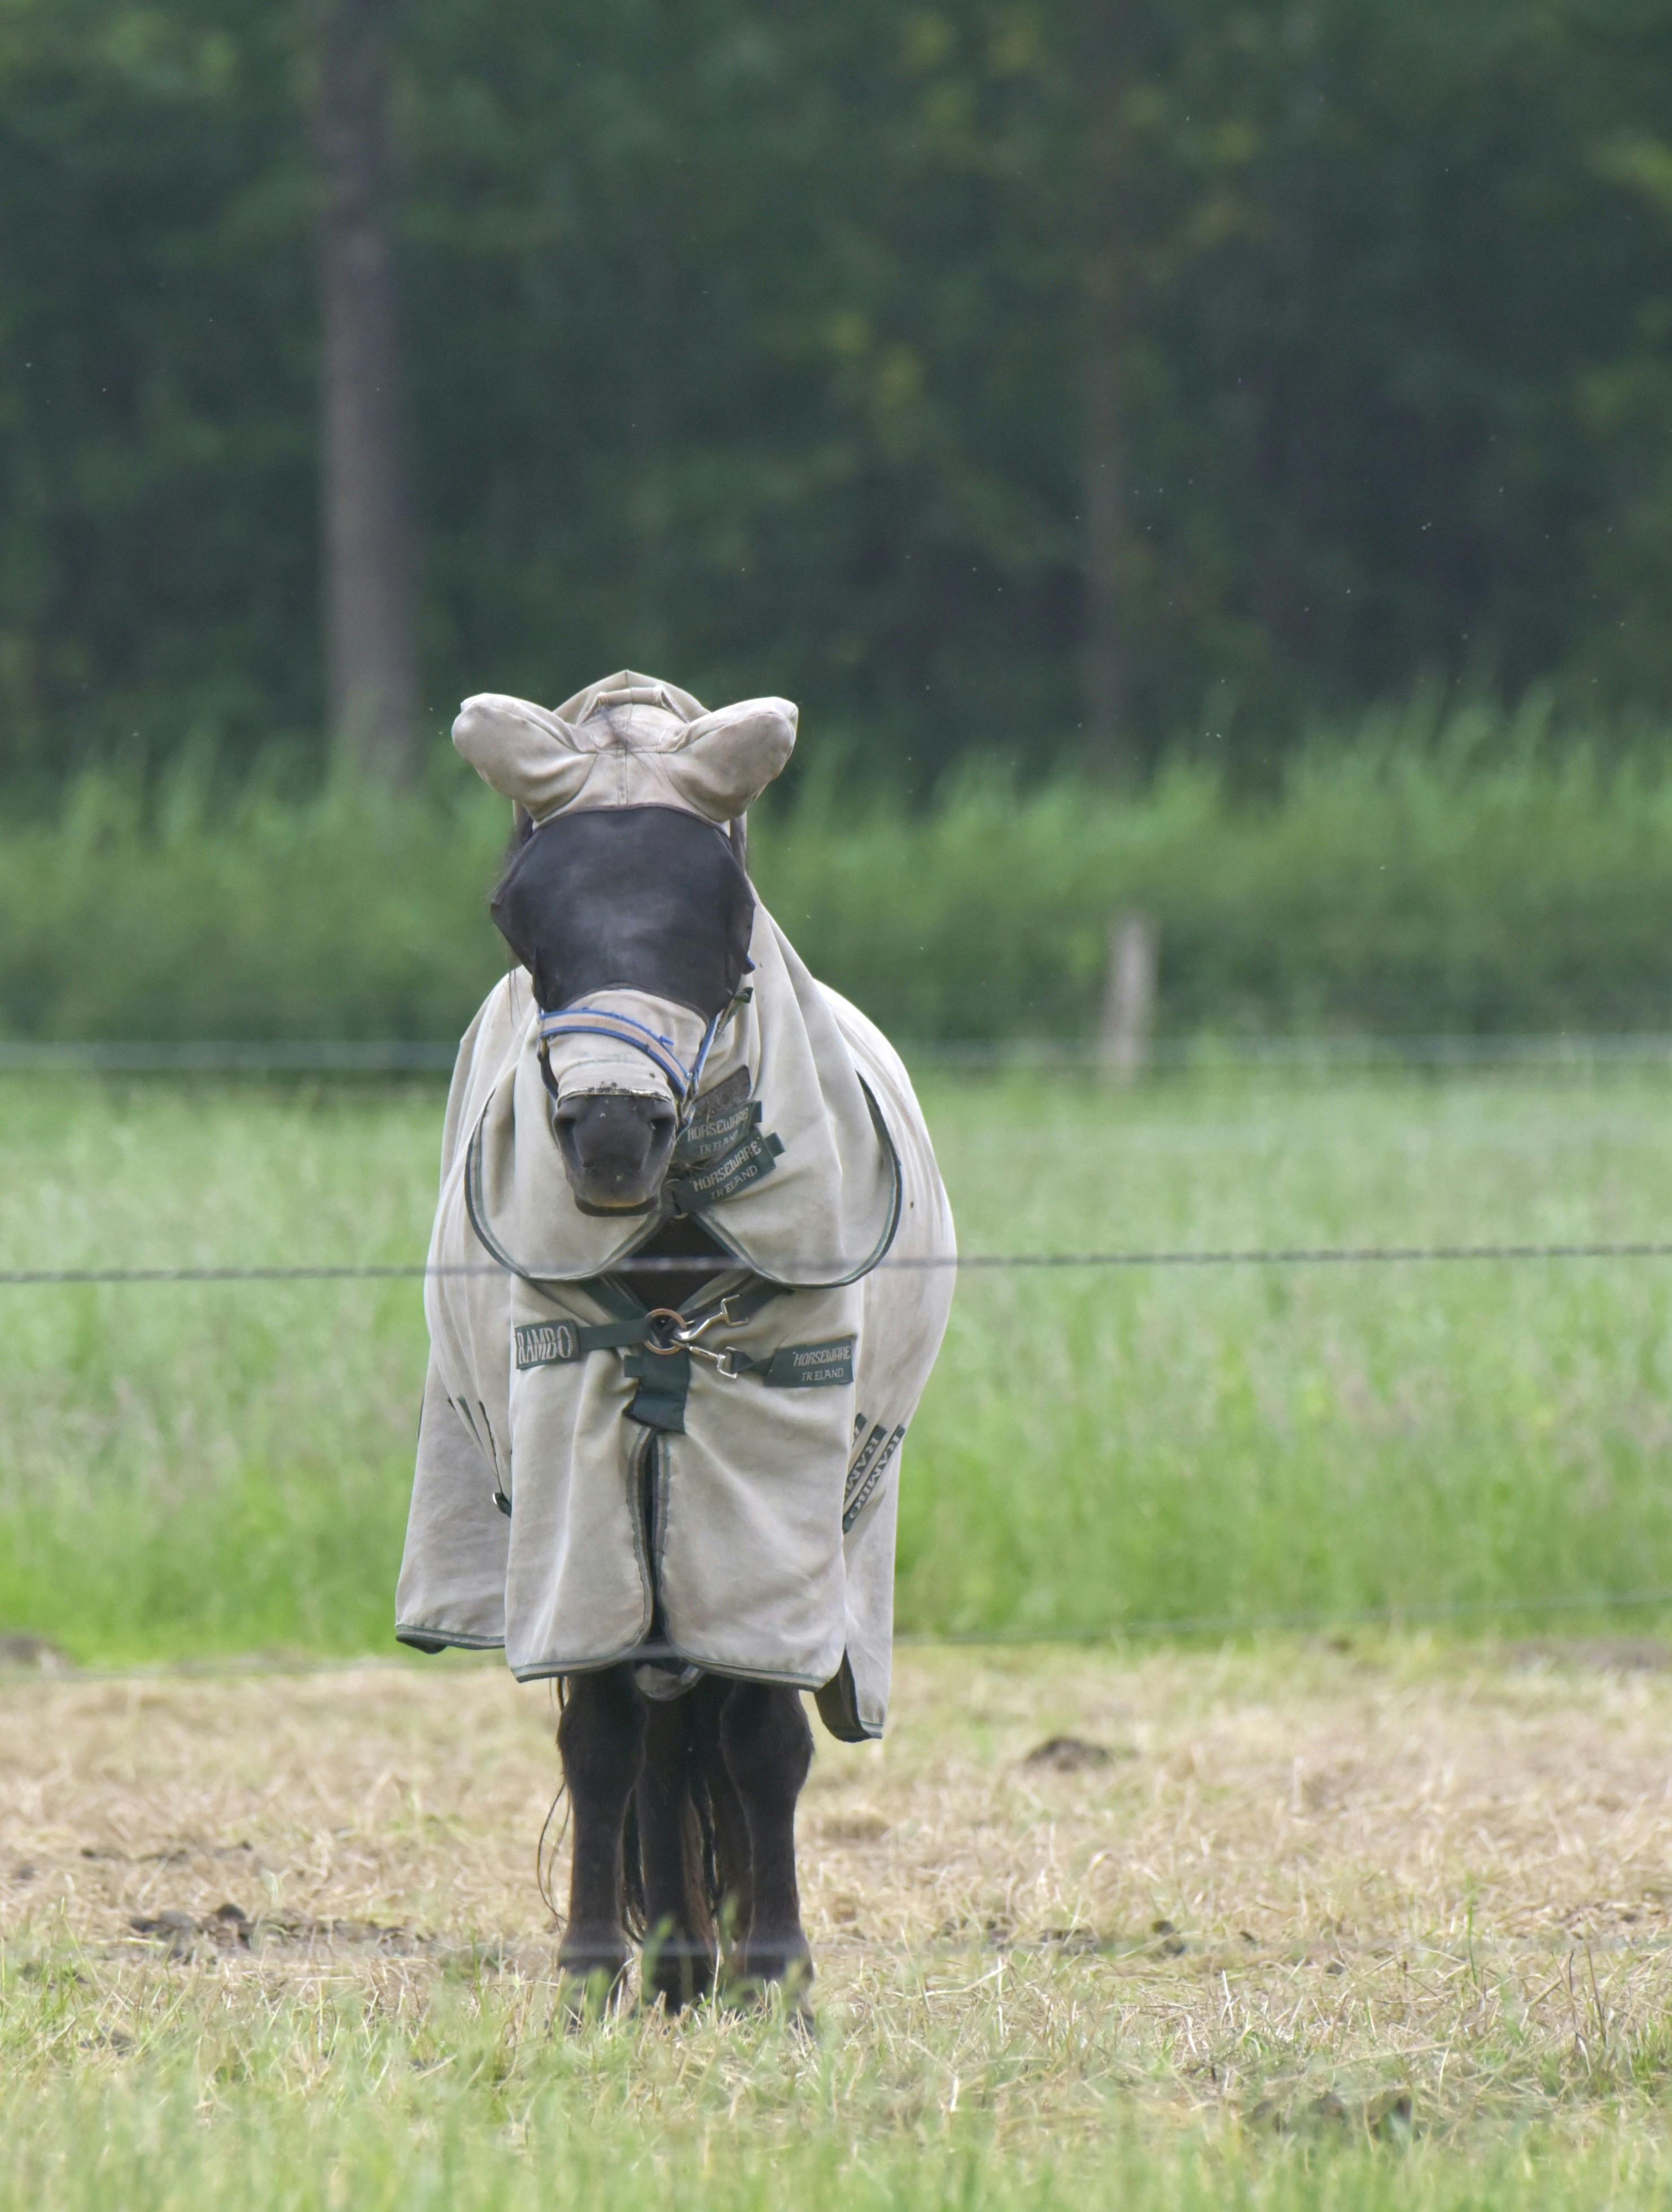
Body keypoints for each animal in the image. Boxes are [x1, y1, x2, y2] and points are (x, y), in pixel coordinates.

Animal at [396, 671, 955, 2013]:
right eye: (515, 914)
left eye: (727, 909)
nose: (612, 1135)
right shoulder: (572, 1479)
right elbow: (601, 1733)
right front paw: (597, 1972)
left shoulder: (771, 1491)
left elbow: (759, 1734)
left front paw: (779, 1976)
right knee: (649, 1722)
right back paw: (669, 1958)